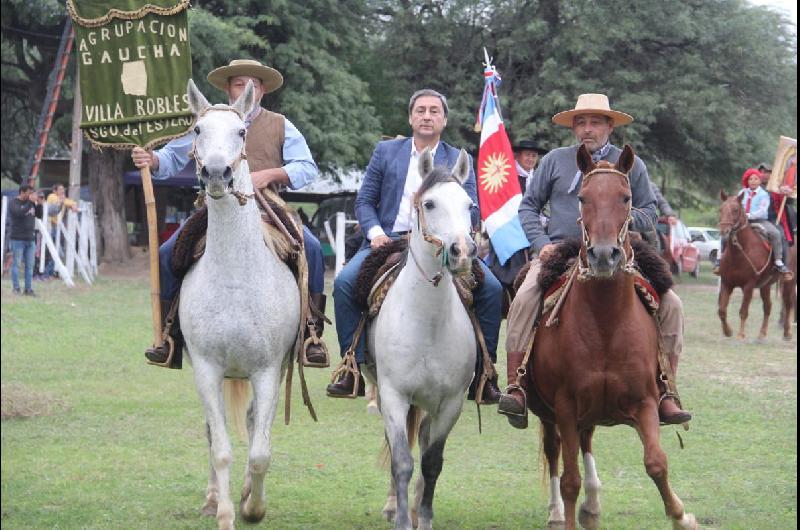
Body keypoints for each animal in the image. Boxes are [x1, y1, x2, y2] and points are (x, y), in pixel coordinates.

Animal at [179, 79, 300, 528]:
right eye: (197, 129)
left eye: (241, 132)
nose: (217, 173)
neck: (234, 278)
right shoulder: (206, 370)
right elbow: (221, 448)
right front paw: (226, 512)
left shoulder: (268, 371)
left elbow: (261, 451)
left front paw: (253, 507)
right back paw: (214, 496)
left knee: (251, 426)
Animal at [364, 148, 482, 528]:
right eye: (429, 204)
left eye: (469, 204)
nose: (463, 251)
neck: (427, 322)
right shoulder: (394, 395)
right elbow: (402, 460)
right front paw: (402, 518)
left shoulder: (452, 403)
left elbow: (432, 462)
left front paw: (424, 517)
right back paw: (393, 505)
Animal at [716, 193, 792, 338]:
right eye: (721, 209)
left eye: (735, 210)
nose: (724, 231)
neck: (739, 253)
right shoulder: (726, 283)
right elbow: (722, 310)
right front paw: (728, 331)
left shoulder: (749, 285)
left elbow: (743, 311)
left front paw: (740, 334)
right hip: (765, 286)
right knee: (768, 307)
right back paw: (761, 335)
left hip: (788, 282)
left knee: (788, 305)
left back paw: (787, 333)